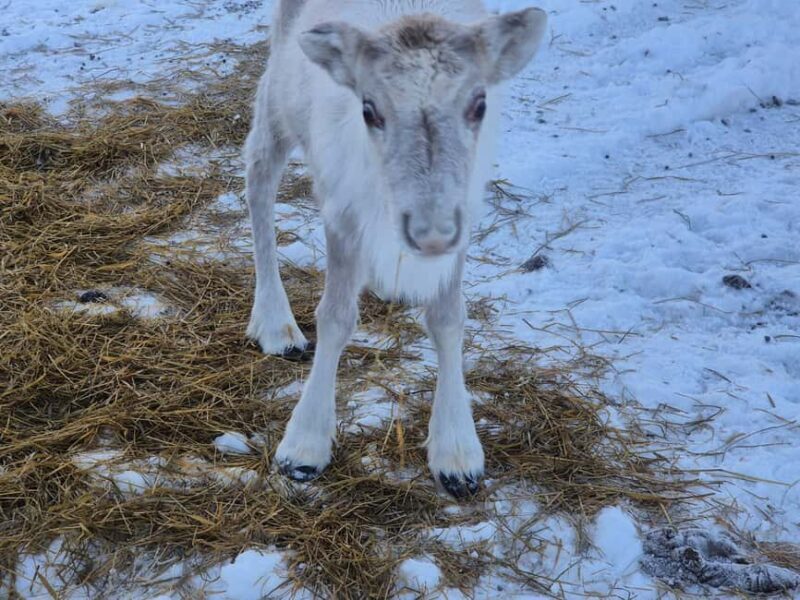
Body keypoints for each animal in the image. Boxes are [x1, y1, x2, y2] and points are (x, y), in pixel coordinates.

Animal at [245, 0, 547, 498]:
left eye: (479, 103)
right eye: (370, 109)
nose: (431, 233)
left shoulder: (464, 212)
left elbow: (449, 319)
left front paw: (457, 453)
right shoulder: (342, 212)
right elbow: (335, 318)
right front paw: (304, 446)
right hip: (275, 102)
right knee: (258, 181)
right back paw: (275, 324)